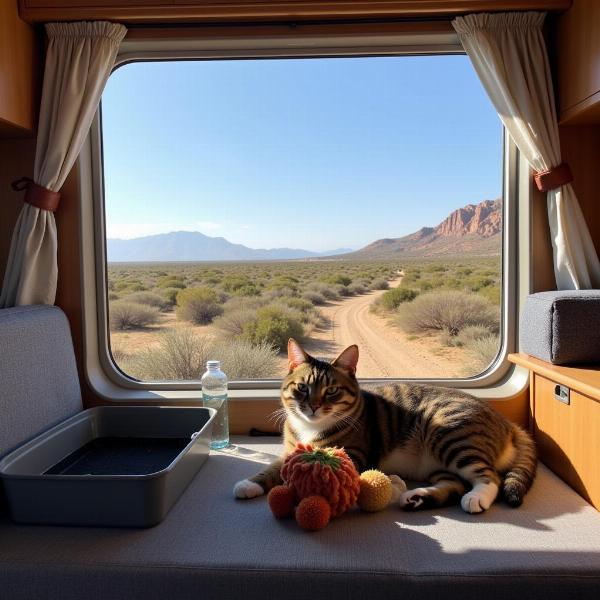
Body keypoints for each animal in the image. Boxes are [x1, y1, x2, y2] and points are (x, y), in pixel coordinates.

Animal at [233, 340, 536, 512]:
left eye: (331, 391)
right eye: (303, 388)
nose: (314, 406)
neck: (310, 429)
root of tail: (507, 423)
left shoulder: (352, 456)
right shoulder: (289, 452)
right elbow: (271, 469)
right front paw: (250, 484)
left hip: (451, 436)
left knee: (489, 478)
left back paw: (476, 498)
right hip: (441, 463)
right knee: (455, 484)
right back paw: (418, 498)